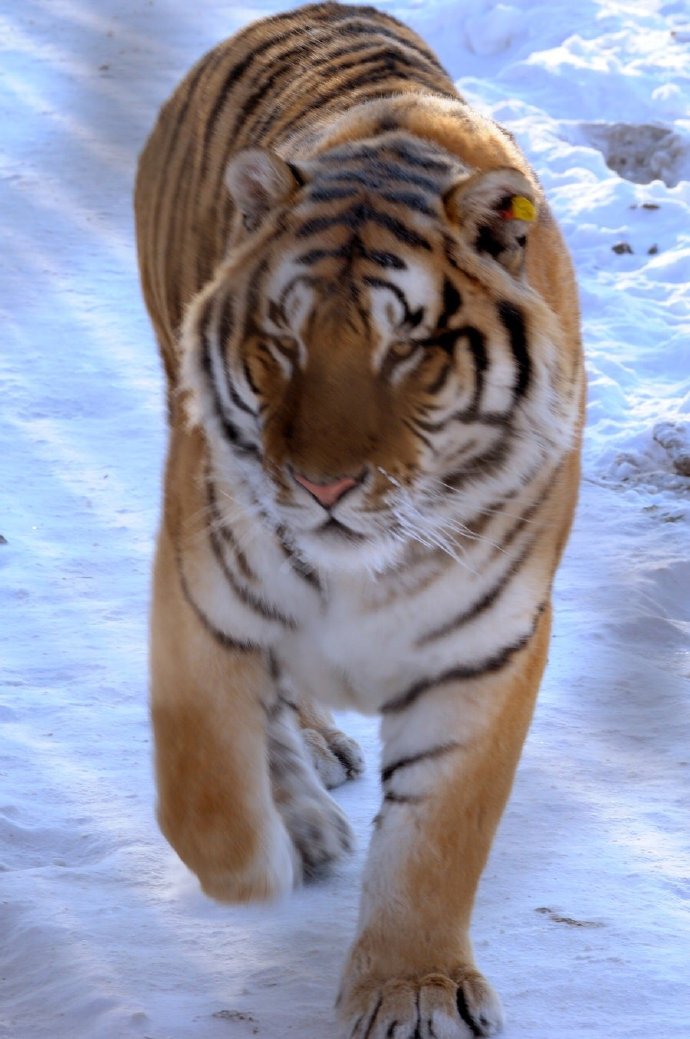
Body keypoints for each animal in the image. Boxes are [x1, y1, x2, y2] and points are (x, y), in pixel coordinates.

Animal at [136, 4, 586, 1034]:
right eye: (281, 341)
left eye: (408, 349)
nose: (322, 486)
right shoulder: (203, 583)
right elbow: (205, 785)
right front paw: (273, 852)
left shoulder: (487, 645)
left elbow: (438, 838)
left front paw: (413, 989)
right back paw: (303, 808)